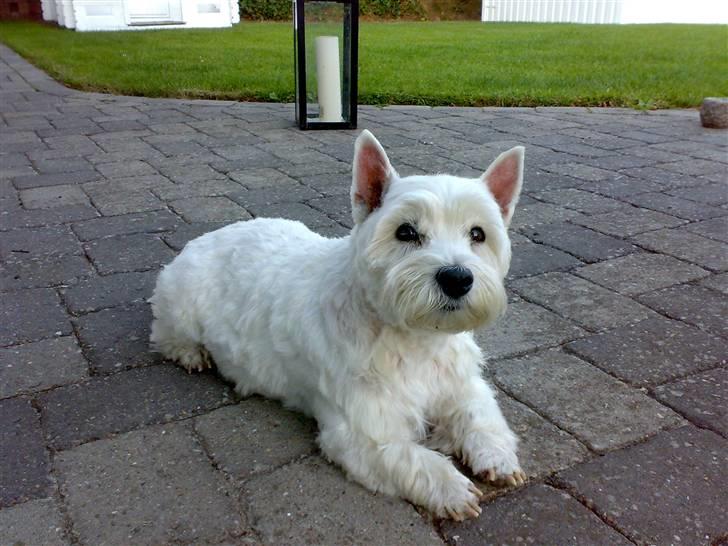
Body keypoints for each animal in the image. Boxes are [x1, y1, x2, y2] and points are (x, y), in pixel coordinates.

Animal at [149, 129, 524, 520]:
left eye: (478, 234)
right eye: (406, 232)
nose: (457, 278)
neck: (415, 338)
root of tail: (207, 236)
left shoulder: (460, 383)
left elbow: (480, 415)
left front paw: (497, 456)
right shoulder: (363, 433)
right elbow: (413, 458)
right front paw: (451, 487)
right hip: (181, 308)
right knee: (165, 334)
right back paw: (193, 354)